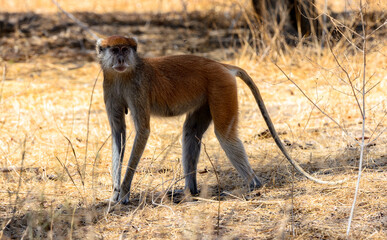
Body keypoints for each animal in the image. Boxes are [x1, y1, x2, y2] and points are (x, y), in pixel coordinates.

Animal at [96, 35, 342, 204]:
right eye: (115, 49)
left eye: (125, 49)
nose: (120, 58)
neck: (126, 73)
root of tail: (223, 66)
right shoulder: (110, 86)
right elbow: (118, 133)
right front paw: (115, 193)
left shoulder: (137, 88)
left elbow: (143, 131)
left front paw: (124, 192)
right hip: (207, 96)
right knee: (191, 132)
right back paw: (190, 191)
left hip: (221, 87)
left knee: (225, 135)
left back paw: (252, 185)